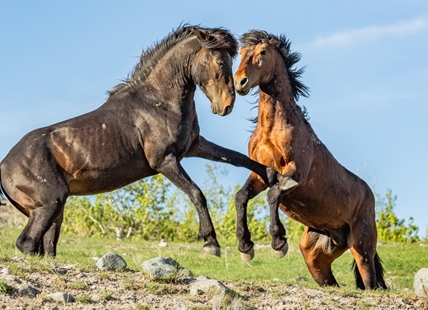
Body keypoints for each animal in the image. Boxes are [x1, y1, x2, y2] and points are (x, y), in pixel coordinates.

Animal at [0, 24, 280, 258]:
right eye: (218, 61)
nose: (226, 105)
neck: (159, 102)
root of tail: (4, 166)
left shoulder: (194, 146)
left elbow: (236, 157)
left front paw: (272, 176)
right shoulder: (164, 161)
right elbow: (197, 194)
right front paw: (211, 243)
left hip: (55, 212)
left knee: (45, 248)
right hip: (50, 204)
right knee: (26, 244)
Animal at [232, 30, 386, 290]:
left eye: (263, 52)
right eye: (242, 52)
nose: (239, 82)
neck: (274, 127)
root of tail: (369, 195)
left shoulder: (296, 173)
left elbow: (273, 195)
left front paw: (279, 243)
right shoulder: (260, 174)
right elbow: (242, 196)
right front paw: (245, 248)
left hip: (362, 248)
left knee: (369, 282)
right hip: (316, 255)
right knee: (330, 281)